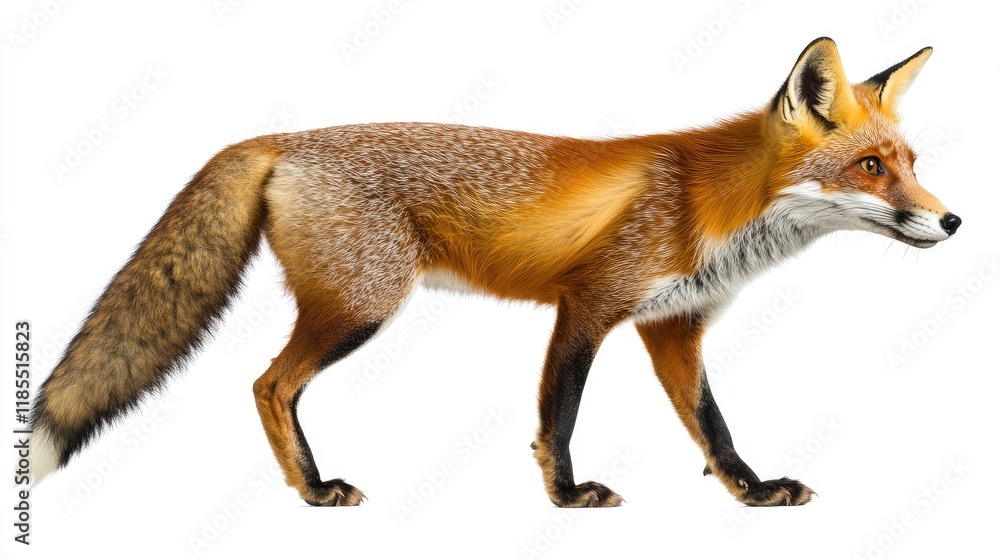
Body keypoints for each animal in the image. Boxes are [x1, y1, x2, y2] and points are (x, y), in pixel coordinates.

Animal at [29, 37, 960, 508]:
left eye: (912, 163)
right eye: (871, 167)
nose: (953, 221)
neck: (711, 206)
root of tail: (277, 139)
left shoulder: (673, 327)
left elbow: (713, 426)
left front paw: (751, 491)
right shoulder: (588, 306)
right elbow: (560, 416)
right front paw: (567, 497)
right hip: (363, 305)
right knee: (267, 384)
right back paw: (314, 490)